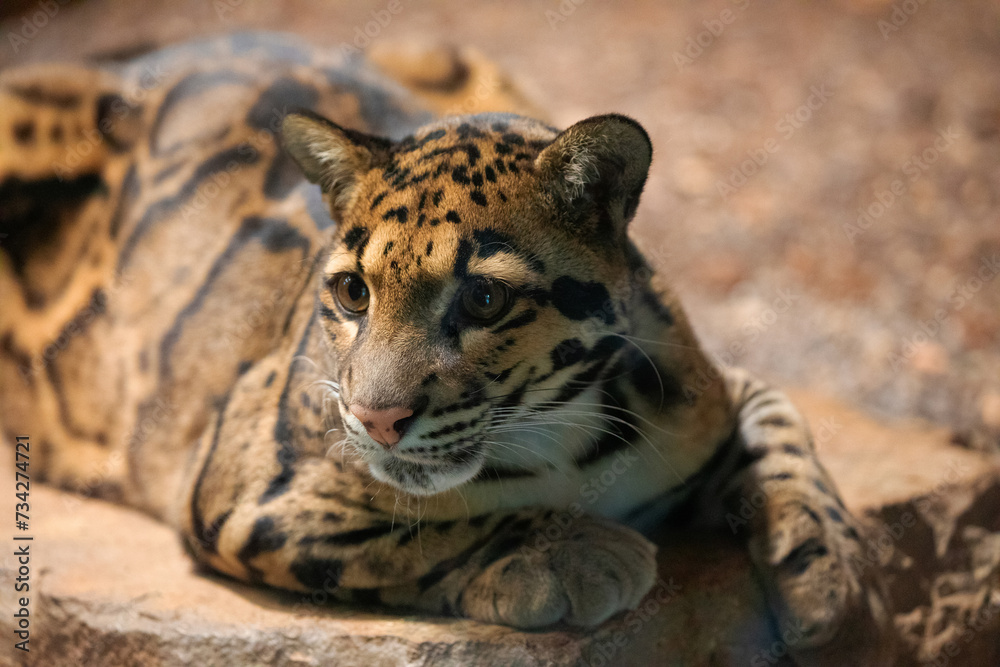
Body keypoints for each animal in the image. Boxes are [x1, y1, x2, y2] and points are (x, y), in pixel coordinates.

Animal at [0, 32, 895, 666]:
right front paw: (566, 550)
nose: (374, 418)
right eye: (353, 292)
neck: (564, 432)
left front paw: (833, 567)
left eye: (484, 299)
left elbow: (782, 425)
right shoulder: (248, 489)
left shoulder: (711, 382)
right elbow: (410, 527)